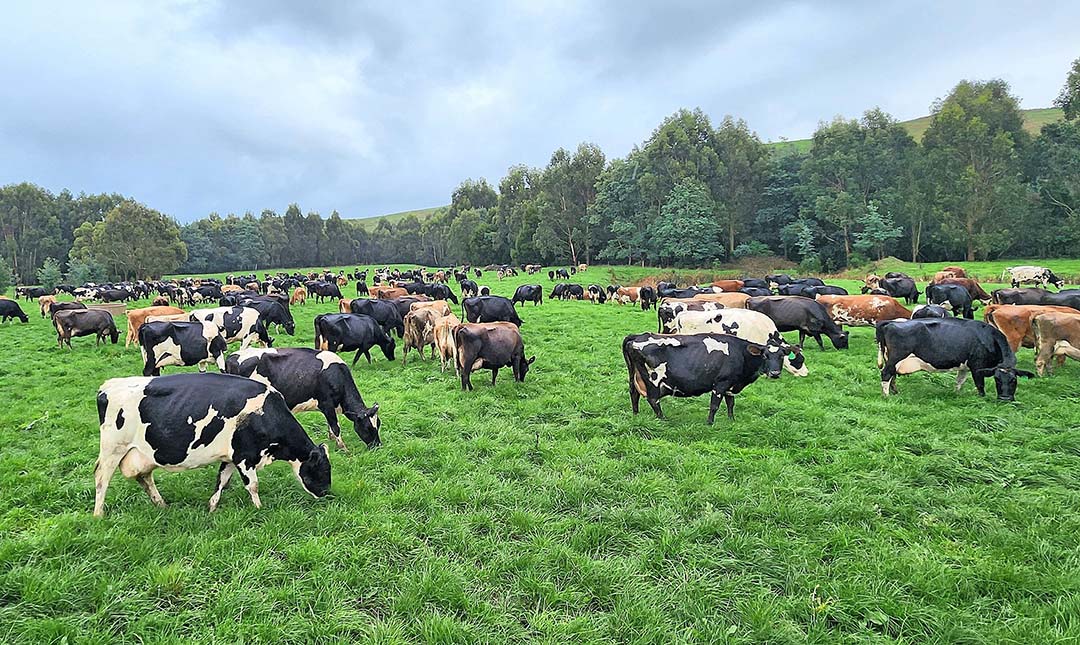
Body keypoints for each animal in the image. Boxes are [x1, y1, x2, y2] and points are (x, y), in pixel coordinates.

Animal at [92, 369, 328, 516]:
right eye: (321, 469)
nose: (326, 493)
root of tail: (108, 385)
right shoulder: (245, 457)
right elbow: (252, 485)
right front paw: (259, 508)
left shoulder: (232, 456)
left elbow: (221, 480)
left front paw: (212, 507)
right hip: (113, 450)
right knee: (102, 479)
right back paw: (98, 514)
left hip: (141, 455)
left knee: (144, 478)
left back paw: (162, 505)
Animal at [225, 347, 382, 447]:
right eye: (368, 427)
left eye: (378, 424)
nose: (377, 446)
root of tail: (233, 356)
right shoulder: (326, 403)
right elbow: (335, 426)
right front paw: (343, 447)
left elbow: (330, 425)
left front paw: (332, 439)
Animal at [622, 332, 790, 423]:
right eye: (765, 355)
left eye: (781, 356)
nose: (775, 373)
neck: (740, 352)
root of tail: (638, 336)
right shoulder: (721, 383)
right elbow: (714, 405)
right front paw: (710, 423)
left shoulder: (730, 384)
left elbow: (731, 404)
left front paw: (731, 420)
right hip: (653, 379)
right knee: (653, 399)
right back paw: (663, 419)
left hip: (634, 376)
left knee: (634, 393)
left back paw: (636, 414)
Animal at [872, 315, 1032, 399]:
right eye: (997, 379)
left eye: (1014, 380)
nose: (1005, 399)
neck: (989, 338)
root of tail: (889, 322)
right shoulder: (977, 366)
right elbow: (980, 384)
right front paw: (982, 397)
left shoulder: (964, 366)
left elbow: (959, 381)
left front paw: (957, 394)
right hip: (896, 357)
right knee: (886, 374)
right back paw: (886, 395)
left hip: (890, 358)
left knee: (892, 375)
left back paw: (895, 392)